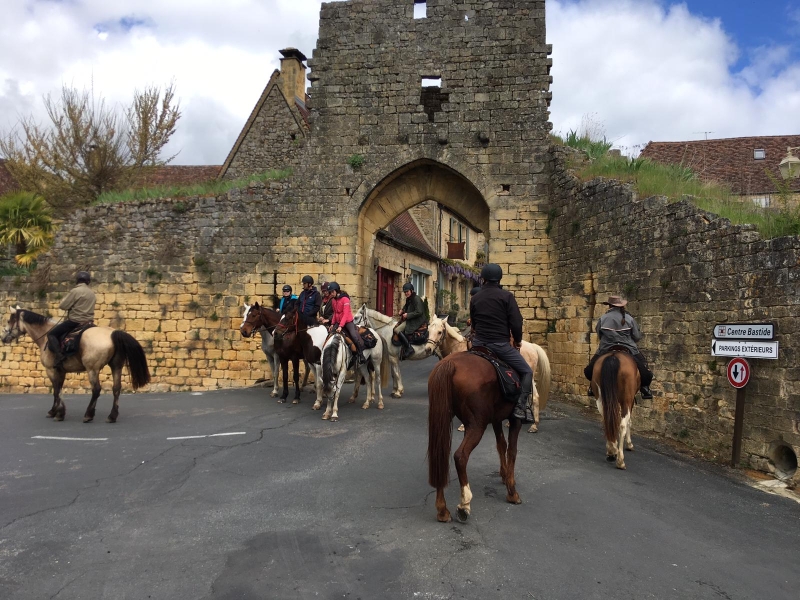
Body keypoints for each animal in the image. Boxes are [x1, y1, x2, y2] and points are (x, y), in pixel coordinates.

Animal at [1, 310, 152, 422]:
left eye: (9, 320)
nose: (3, 338)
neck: (46, 336)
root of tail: (112, 333)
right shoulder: (61, 371)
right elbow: (57, 390)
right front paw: (55, 411)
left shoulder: (51, 370)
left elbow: (56, 390)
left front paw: (58, 413)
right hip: (116, 367)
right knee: (116, 389)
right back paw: (112, 416)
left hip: (92, 369)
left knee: (96, 390)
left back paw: (89, 415)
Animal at [424, 354, 524, 524]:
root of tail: (449, 363)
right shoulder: (515, 420)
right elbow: (512, 450)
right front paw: (512, 492)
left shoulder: (496, 419)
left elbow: (501, 445)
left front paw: (504, 476)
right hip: (477, 425)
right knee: (460, 456)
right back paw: (464, 504)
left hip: (443, 418)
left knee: (440, 456)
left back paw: (443, 510)